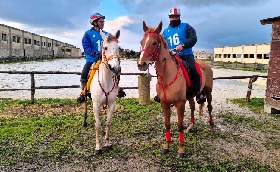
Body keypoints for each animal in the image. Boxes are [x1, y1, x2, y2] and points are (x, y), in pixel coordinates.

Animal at [137, 21, 213, 157]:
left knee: (209, 108)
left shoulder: (180, 103)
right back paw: (191, 127)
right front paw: (166, 145)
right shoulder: (164, 103)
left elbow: (179, 125)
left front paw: (181, 149)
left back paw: (212, 129)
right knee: (193, 106)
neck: (167, 75)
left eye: (154, 43)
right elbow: (167, 124)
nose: (141, 64)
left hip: (208, 92)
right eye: (141, 42)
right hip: (190, 96)